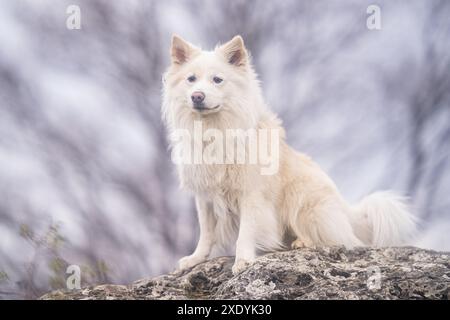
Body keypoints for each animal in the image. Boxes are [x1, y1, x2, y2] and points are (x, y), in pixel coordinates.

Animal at [161, 35, 414, 276]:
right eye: (191, 79)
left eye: (217, 80)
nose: (197, 96)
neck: (215, 130)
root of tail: (347, 214)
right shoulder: (205, 198)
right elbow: (206, 233)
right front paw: (195, 259)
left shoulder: (251, 195)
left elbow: (245, 233)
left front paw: (242, 261)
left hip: (303, 201)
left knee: (338, 240)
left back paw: (302, 242)